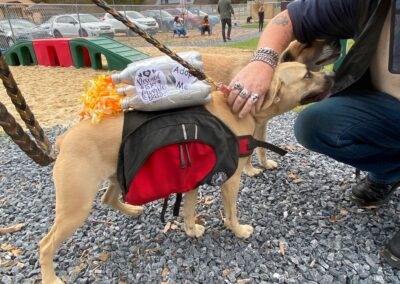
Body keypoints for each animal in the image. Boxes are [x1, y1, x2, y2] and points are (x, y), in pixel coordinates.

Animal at [39, 61, 334, 282]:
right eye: (307, 75)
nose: (331, 74)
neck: (238, 110)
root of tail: (64, 139)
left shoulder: (192, 180)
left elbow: (189, 209)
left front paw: (191, 230)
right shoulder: (230, 180)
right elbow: (231, 212)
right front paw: (238, 231)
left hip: (115, 176)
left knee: (108, 198)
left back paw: (132, 210)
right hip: (75, 207)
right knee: (45, 245)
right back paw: (51, 278)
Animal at [241, 38, 340, 176]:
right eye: (307, 75)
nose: (333, 74)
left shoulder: (261, 125)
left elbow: (261, 147)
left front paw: (265, 164)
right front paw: (249, 169)